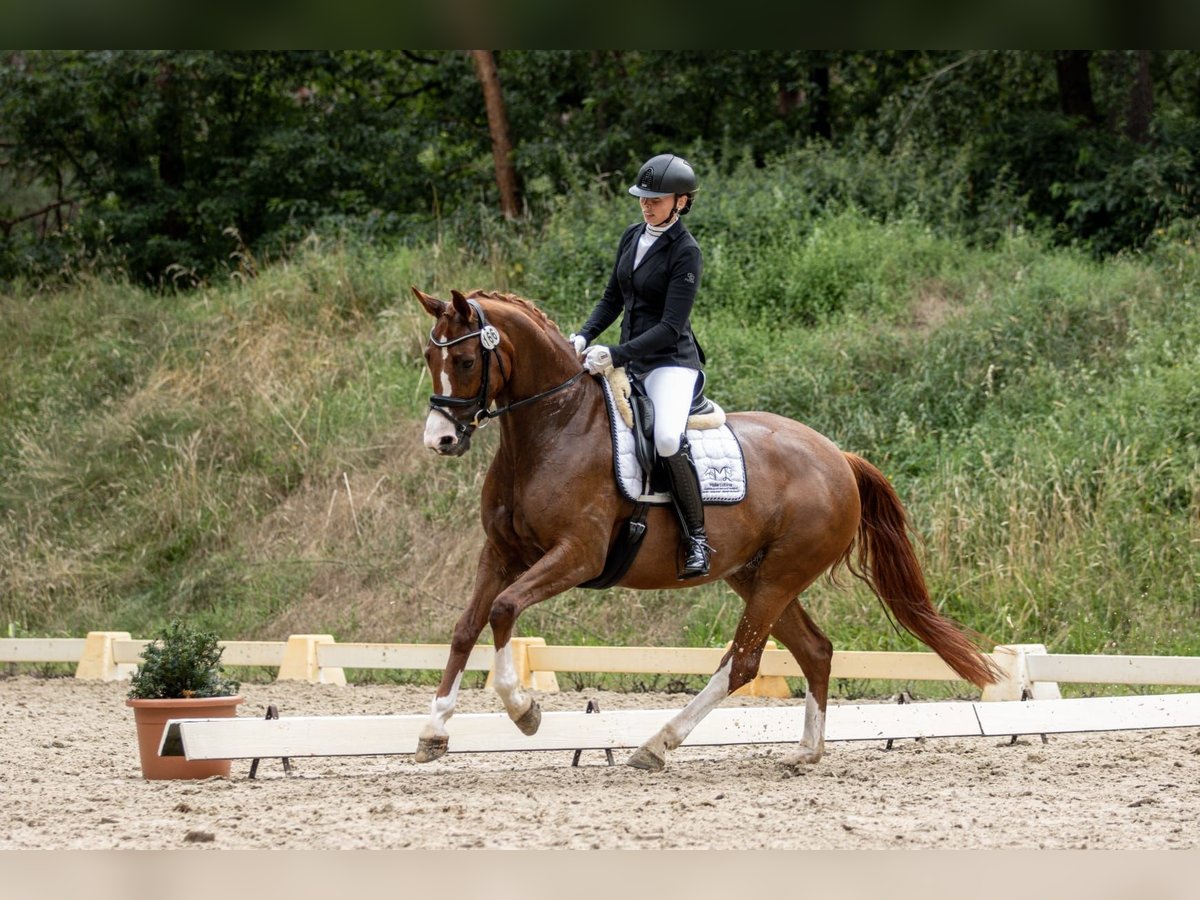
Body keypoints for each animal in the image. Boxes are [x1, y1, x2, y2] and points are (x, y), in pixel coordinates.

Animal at [415, 286, 1003, 768]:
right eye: (428, 358)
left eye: (464, 360)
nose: (440, 440)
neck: (553, 429)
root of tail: (838, 456)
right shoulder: (500, 552)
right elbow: (467, 626)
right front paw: (433, 731)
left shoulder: (577, 554)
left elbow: (503, 608)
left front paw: (524, 711)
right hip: (755, 575)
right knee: (814, 650)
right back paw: (805, 752)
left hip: (779, 576)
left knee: (742, 663)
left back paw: (658, 744)